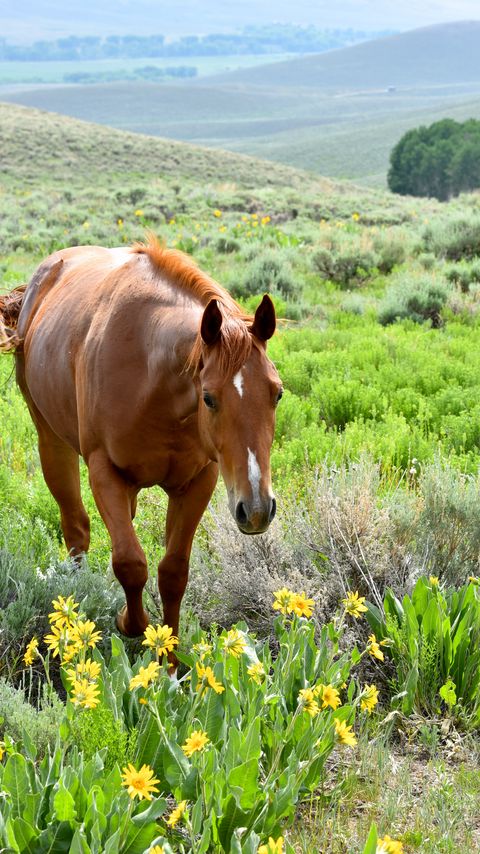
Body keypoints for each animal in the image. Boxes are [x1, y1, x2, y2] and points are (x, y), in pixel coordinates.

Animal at [0, 237, 282, 644]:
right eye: (209, 398)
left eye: (277, 393)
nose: (257, 509)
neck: (154, 378)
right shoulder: (105, 472)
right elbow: (130, 563)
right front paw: (128, 622)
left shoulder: (198, 480)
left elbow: (173, 572)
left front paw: (170, 655)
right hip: (52, 443)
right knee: (76, 528)